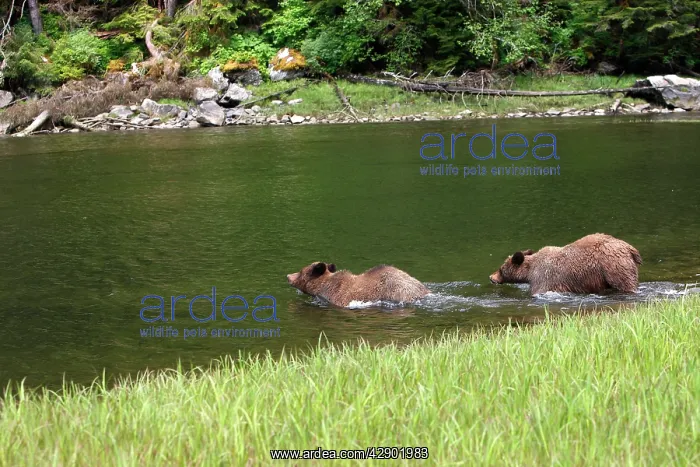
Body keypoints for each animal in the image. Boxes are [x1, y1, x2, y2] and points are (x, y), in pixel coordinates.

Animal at [489, 233, 643, 296]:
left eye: (501, 269)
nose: (491, 277)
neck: (530, 271)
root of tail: (630, 248)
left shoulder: (545, 279)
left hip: (613, 265)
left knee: (625, 283)